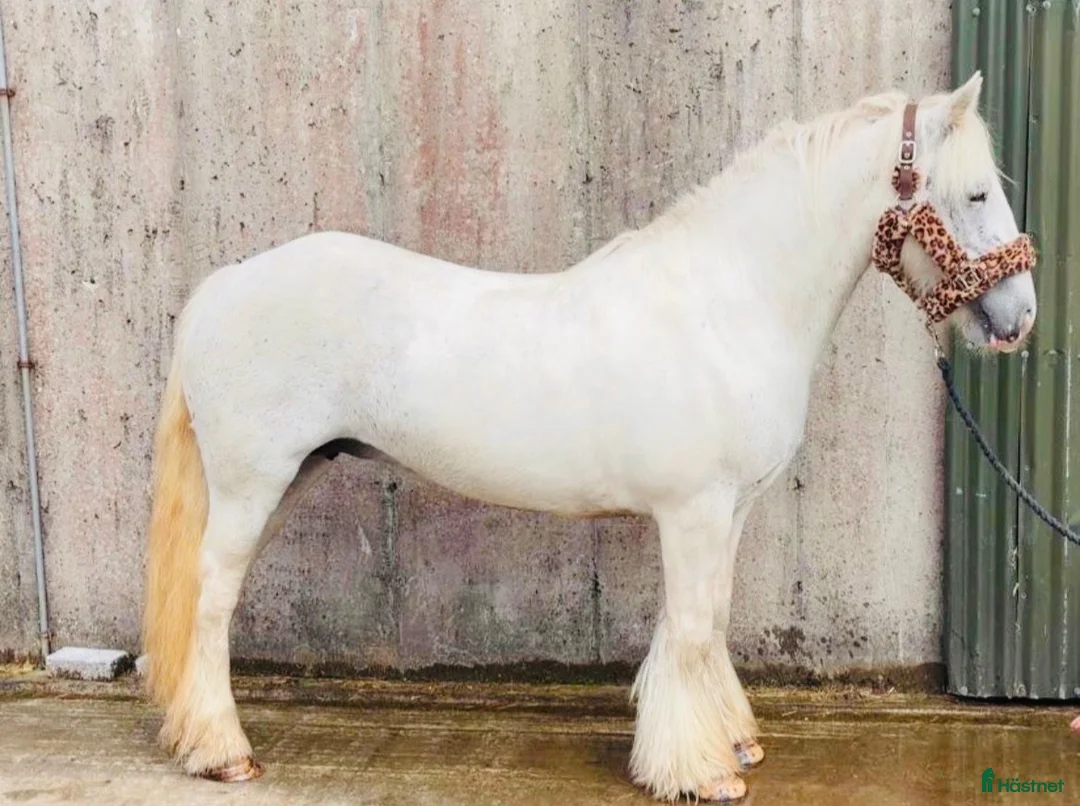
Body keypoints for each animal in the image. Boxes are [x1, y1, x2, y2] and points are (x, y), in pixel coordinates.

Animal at [141, 72, 1037, 802]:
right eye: (977, 195)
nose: (1021, 318)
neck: (729, 302)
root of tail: (224, 286)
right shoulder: (692, 511)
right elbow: (693, 627)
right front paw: (700, 771)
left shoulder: (730, 512)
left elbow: (710, 620)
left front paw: (730, 743)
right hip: (254, 484)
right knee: (212, 601)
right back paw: (222, 754)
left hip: (284, 479)